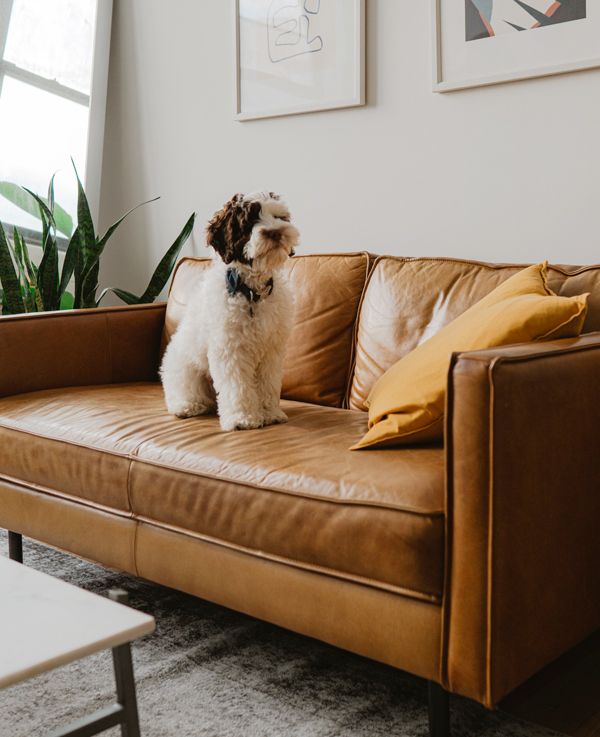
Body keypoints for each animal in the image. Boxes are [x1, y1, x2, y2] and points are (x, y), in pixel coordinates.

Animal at [161, 190, 298, 432]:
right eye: (250, 221)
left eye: (279, 217)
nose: (275, 232)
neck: (251, 292)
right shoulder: (231, 350)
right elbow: (238, 387)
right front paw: (243, 418)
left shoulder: (272, 351)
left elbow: (269, 384)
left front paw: (270, 413)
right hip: (185, 370)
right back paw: (187, 406)